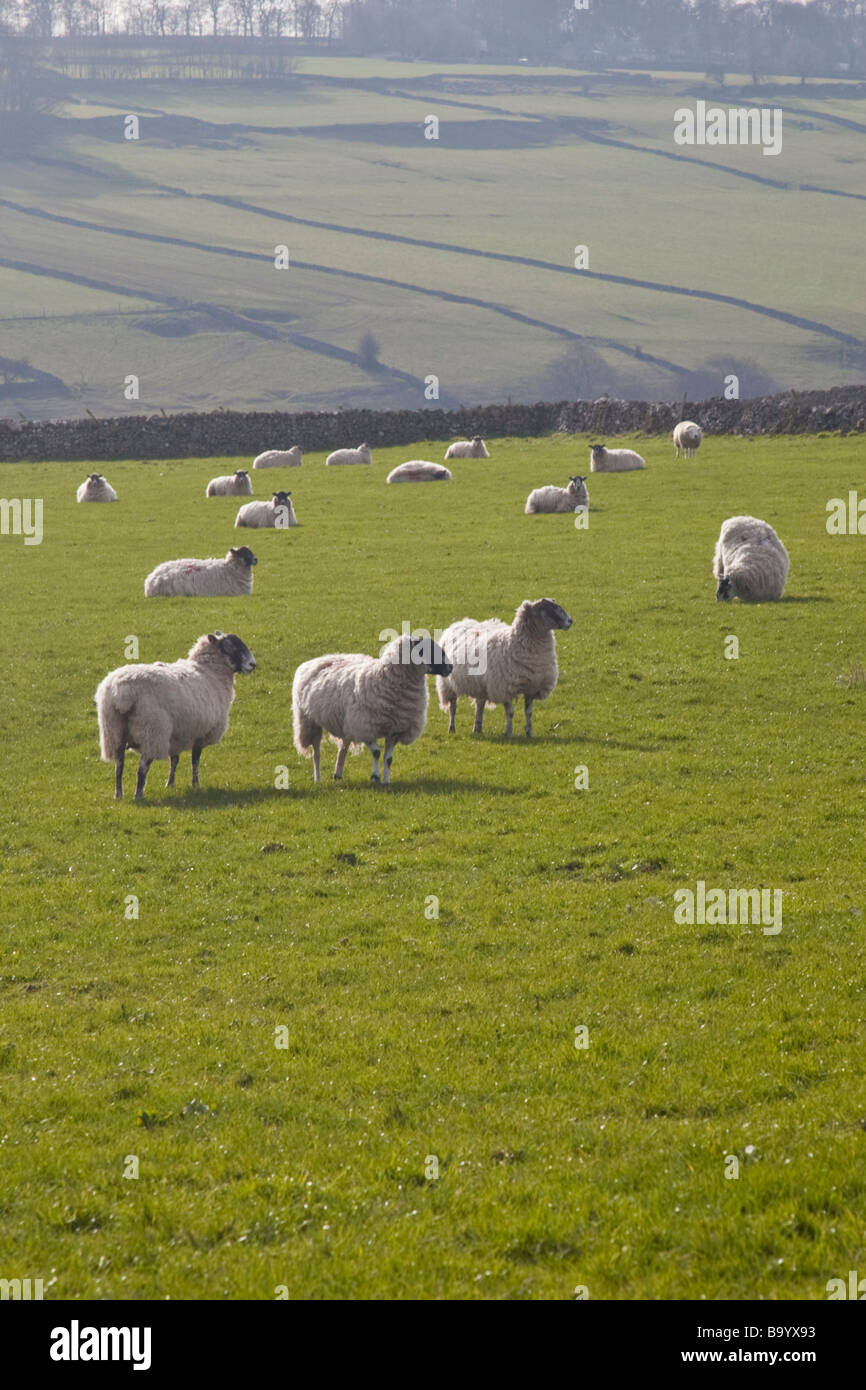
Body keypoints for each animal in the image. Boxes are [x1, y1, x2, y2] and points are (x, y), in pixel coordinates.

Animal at [95, 633, 257, 806]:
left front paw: (170, 784)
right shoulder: (200, 733)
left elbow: (175, 760)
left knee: (119, 765)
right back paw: (139, 794)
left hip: (113, 731)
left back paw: (118, 794)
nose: (253, 664)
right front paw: (196, 785)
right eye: (230, 646)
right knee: (142, 767)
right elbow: (195, 761)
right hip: (152, 731)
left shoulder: (178, 735)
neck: (209, 672)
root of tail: (122, 692)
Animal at [291, 636, 453, 789]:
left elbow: (388, 759)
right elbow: (376, 752)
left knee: (343, 749)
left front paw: (386, 781)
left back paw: (338, 775)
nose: (451, 667)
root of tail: (317, 660)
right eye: (425, 650)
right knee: (316, 753)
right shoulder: (365, 727)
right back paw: (317, 779)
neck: (384, 679)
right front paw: (375, 777)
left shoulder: (395, 730)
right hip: (309, 721)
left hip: (346, 724)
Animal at [436, 603, 572, 745]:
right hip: (447, 684)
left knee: (480, 706)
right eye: (548, 608)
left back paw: (477, 729)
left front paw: (529, 733)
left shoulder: (531, 687)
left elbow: (529, 713)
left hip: (480, 685)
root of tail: (459, 622)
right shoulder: (505, 688)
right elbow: (510, 713)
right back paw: (452, 728)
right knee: (453, 707)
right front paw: (509, 733)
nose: (570, 621)